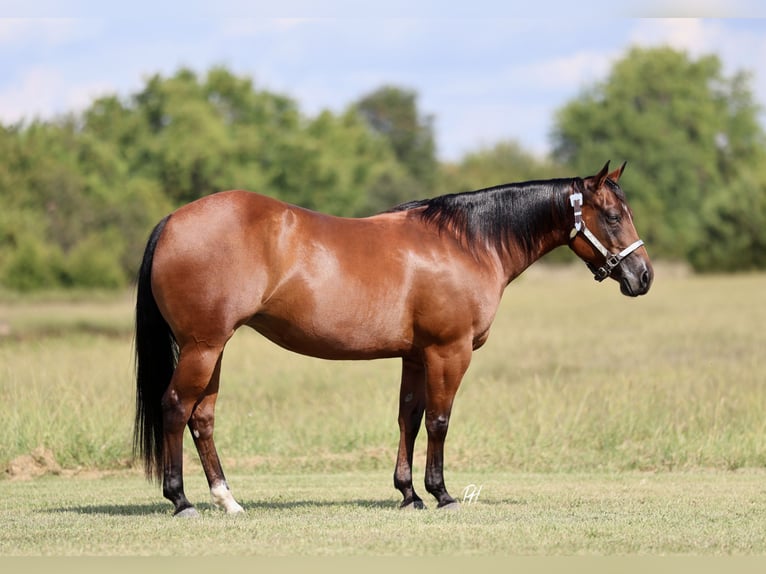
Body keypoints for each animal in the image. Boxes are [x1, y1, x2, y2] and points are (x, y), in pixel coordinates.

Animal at [133, 161, 653, 517]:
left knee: (202, 418)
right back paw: (181, 501)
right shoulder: (449, 352)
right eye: (612, 216)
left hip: (214, 347)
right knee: (176, 407)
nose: (643, 276)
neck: (465, 243)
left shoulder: (416, 356)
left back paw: (228, 500)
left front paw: (409, 494)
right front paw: (442, 494)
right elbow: (440, 421)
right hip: (202, 346)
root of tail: (173, 220)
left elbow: (409, 418)